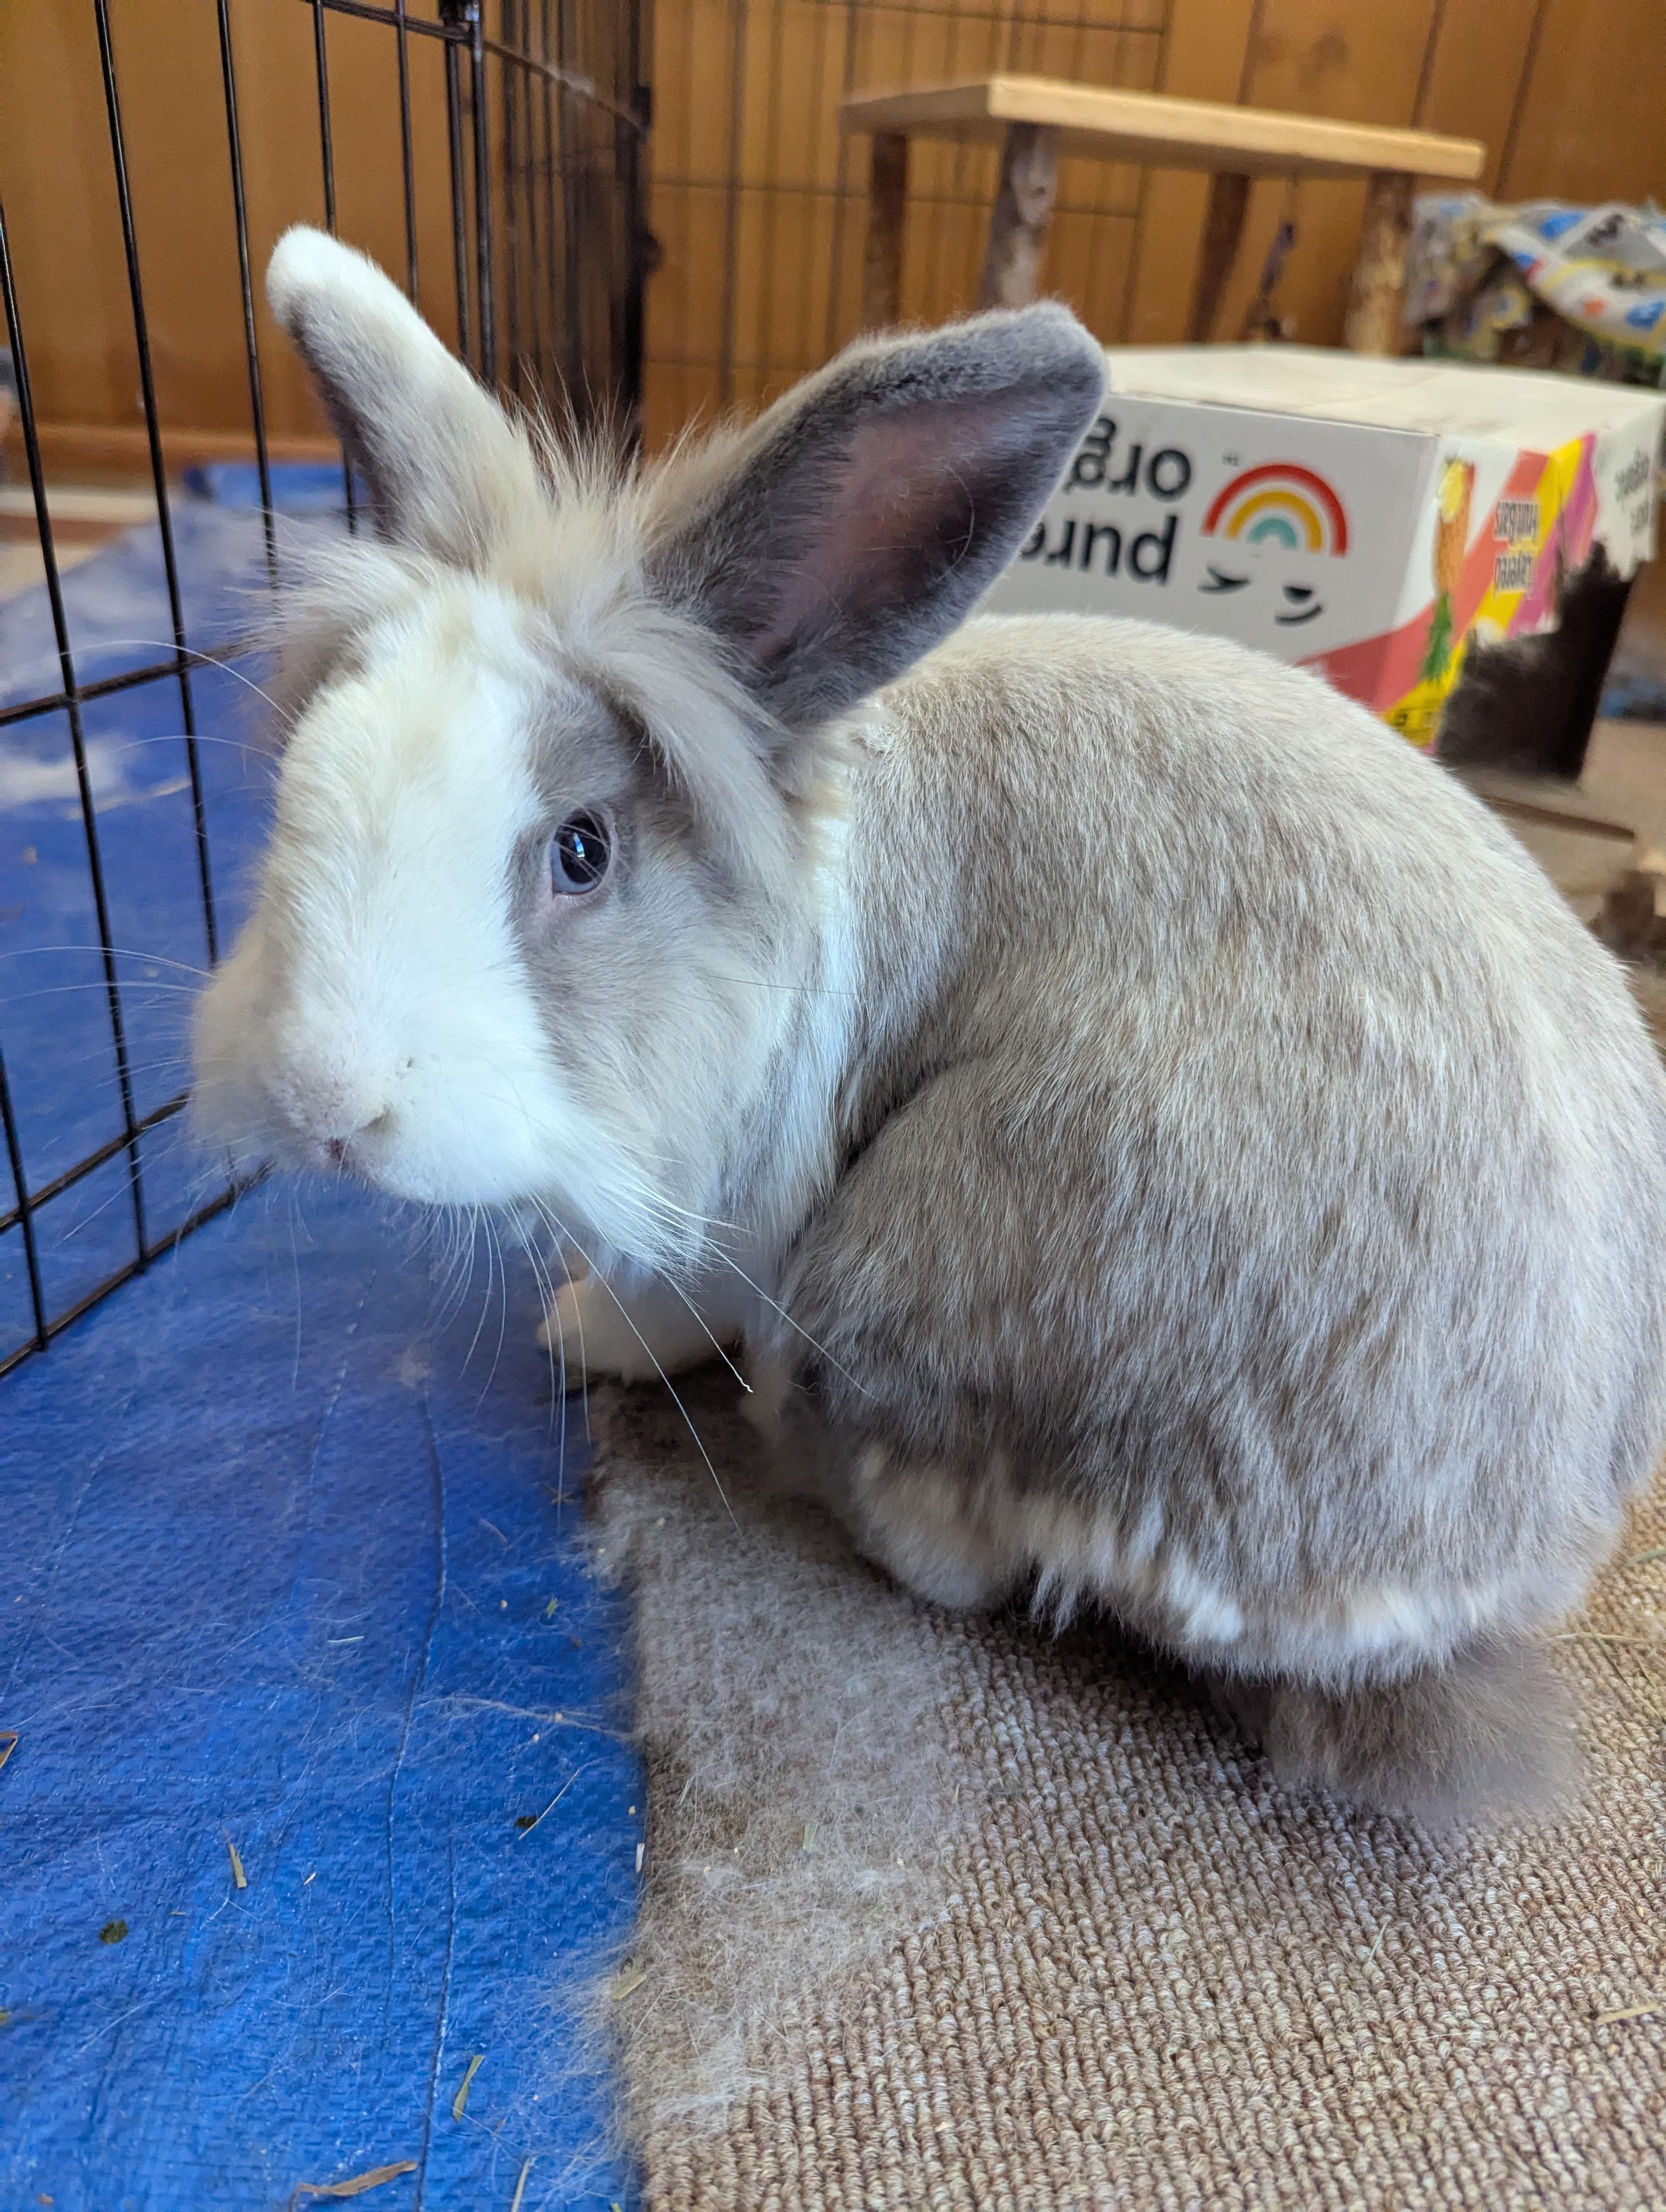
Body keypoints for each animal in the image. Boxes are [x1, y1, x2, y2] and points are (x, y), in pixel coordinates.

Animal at [194, 225, 1666, 1823]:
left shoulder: (748, 1210)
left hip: (932, 1222)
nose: (321, 1097)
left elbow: (681, 1291)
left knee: (956, 1560)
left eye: (580, 849)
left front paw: (588, 1333)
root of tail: (1458, 1597)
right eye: (309, 771)